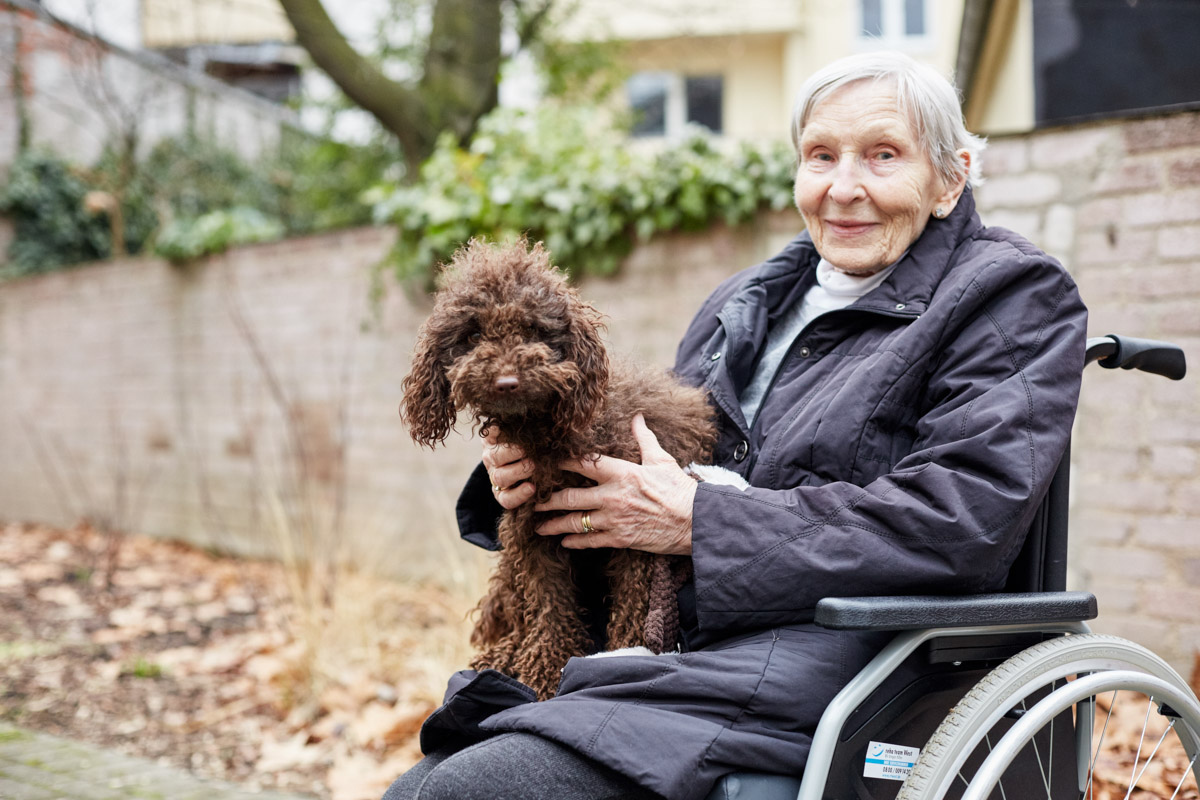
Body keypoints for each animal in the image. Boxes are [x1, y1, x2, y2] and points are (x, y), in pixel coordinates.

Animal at [403, 239, 715, 700]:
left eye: (533, 329)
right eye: (473, 336)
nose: (507, 382)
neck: (546, 434)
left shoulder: (635, 540)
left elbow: (633, 608)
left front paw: (622, 658)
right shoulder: (531, 533)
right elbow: (548, 606)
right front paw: (544, 672)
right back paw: (501, 655)